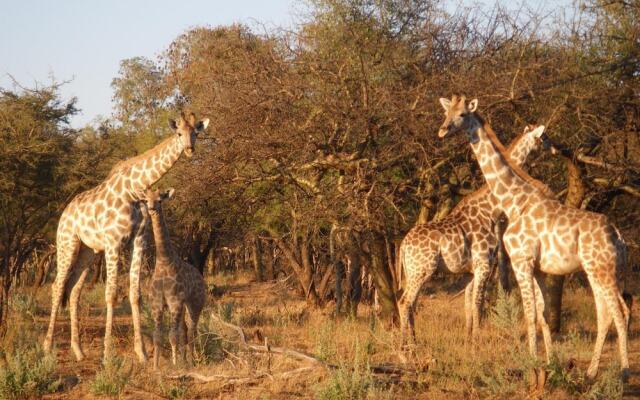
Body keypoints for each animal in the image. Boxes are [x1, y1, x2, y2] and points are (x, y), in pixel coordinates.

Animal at [139, 188, 205, 368]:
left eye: (160, 200)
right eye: (146, 200)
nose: (151, 209)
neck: (164, 262)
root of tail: (200, 276)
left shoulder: (175, 302)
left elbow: (172, 336)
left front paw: (175, 364)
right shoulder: (157, 304)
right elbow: (157, 336)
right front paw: (156, 366)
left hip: (195, 303)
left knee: (192, 329)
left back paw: (192, 359)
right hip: (183, 306)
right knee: (184, 329)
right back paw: (185, 359)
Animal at [398, 123, 552, 346]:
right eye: (544, 137)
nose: (553, 148)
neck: (490, 208)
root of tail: (402, 246)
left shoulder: (473, 268)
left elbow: (469, 303)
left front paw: (468, 339)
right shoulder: (484, 263)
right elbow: (478, 302)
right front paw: (477, 341)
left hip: (413, 271)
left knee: (411, 302)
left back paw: (413, 339)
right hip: (422, 269)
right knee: (405, 302)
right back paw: (406, 344)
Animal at [438, 96, 628, 382]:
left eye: (461, 114)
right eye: (445, 112)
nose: (442, 130)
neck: (515, 200)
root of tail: (617, 235)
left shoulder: (521, 260)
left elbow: (529, 314)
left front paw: (532, 365)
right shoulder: (536, 267)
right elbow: (542, 314)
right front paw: (550, 365)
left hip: (602, 268)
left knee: (619, 311)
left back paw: (625, 372)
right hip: (596, 269)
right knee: (605, 313)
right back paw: (591, 373)